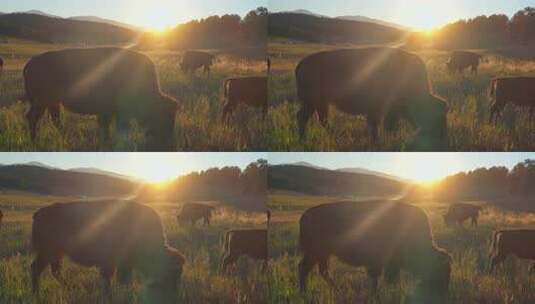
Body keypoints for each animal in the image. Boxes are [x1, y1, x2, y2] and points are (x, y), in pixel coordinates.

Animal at [23, 47, 179, 151]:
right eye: (165, 116)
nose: (167, 144)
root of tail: (29, 64)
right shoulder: (116, 112)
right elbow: (117, 127)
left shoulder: (107, 111)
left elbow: (106, 126)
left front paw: (107, 142)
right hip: (42, 101)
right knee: (34, 117)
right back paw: (35, 141)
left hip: (52, 102)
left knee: (53, 119)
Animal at [31, 200, 186, 302]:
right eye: (173, 272)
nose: (174, 294)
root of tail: (38, 213)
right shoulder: (111, 263)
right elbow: (111, 280)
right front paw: (110, 296)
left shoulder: (124, 264)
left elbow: (123, 280)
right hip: (48, 252)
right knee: (37, 269)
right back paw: (37, 294)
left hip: (56, 253)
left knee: (55, 270)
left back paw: (71, 287)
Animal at [296, 47, 450, 151]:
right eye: (439, 117)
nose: (442, 137)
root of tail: (300, 65)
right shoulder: (381, 109)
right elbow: (382, 125)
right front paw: (379, 142)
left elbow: (383, 125)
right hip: (313, 102)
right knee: (305, 118)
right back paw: (307, 139)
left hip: (319, 103)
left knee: (319, 119)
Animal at [300, 200, 450, 302]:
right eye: (441, 270)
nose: (443, 292)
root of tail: (305, 215)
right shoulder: (379, 263)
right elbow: (380, 279)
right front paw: (378, 296)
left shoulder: (389, 264)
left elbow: (386, 279)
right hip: (315, 253)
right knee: (305, 268)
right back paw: (305, 293)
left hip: (323, 254)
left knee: (322, 271)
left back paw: (336, 290)